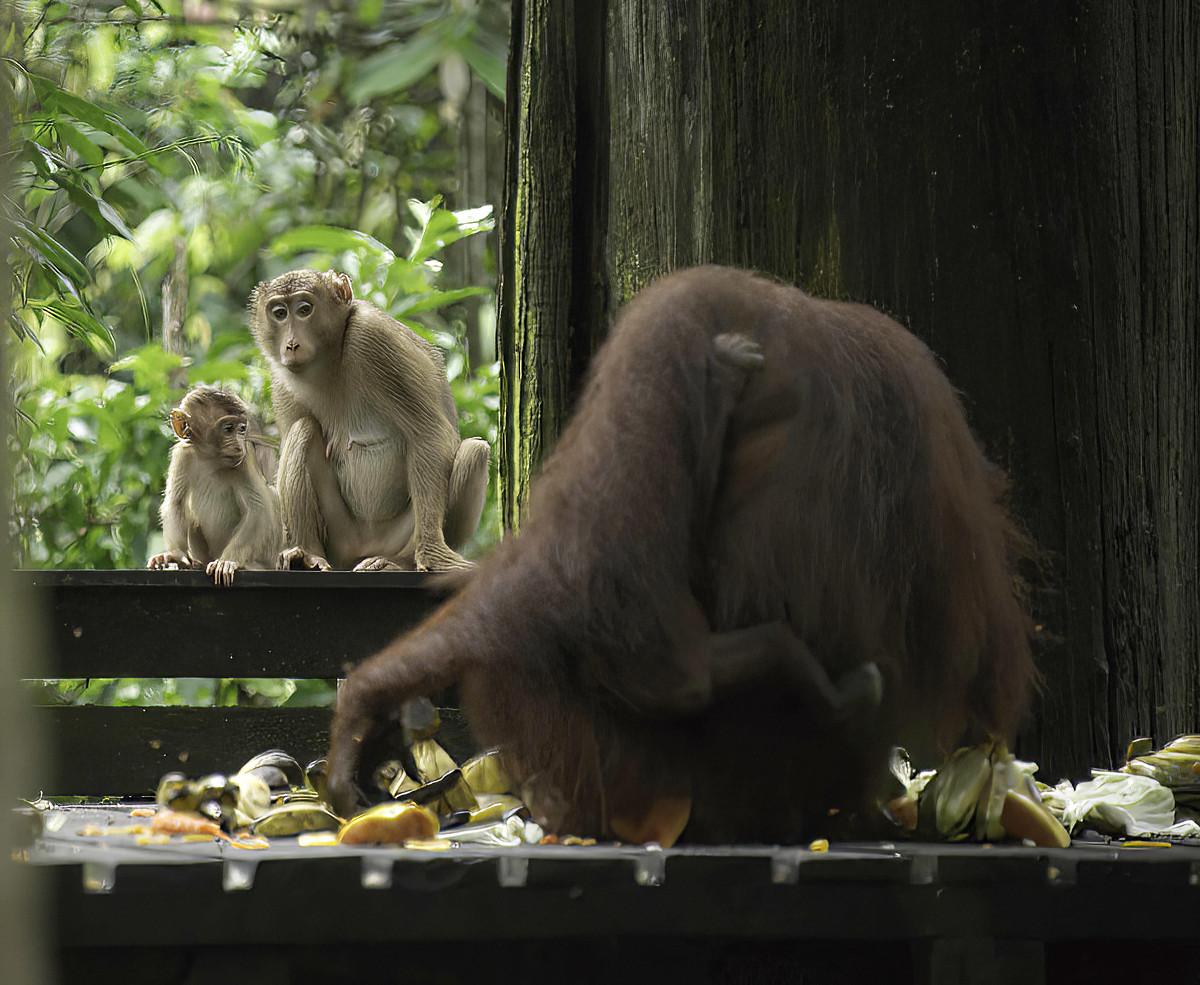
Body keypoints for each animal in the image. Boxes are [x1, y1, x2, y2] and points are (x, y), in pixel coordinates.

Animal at [147, 385, 284, 587]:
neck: (210, 459)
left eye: (241, 429)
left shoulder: (245, 459)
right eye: (228, 429)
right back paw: (196, 564)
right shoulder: (183, 455)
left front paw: (227, 561)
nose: (238, 444)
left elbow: (257, 507)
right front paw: (175, 555)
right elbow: (174, 503)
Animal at [248, 270, 490, 573]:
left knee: (474, 452)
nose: (291, 345)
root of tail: (367, 546)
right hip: (341, 537)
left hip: (397, 534)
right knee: (303, 429)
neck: (332, 357)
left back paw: (399, 562)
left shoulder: (373, 336)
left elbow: (429, 434)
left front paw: (433, 553)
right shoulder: (280, 379)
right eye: (279, 313)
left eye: (305, 309)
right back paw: (308, 552)